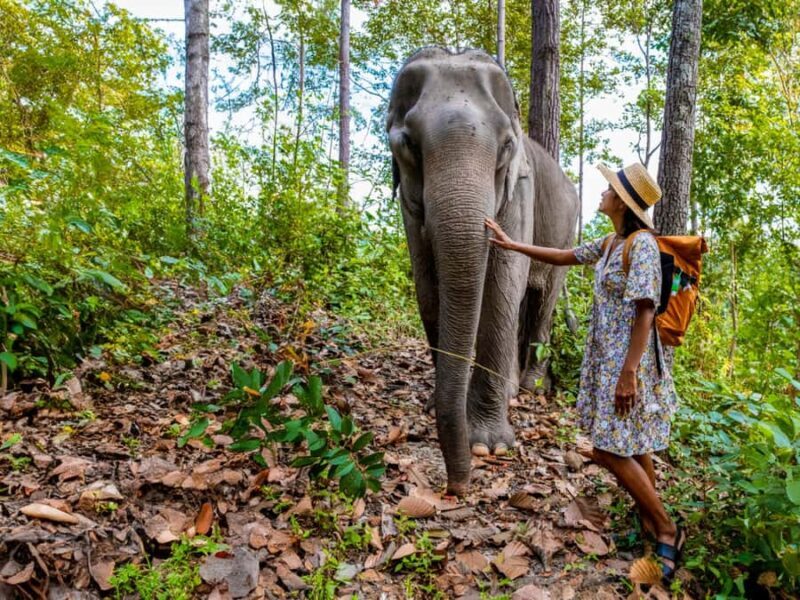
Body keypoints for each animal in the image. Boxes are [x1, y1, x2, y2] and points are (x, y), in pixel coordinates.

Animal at [387, 48, 580, 496]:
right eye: (408, 144)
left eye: (507, 146)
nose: (457, 485)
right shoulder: (408, 203)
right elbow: (427, 285)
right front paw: (435, 406)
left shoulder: (521, 190)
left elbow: (504, 280)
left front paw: (488, 445)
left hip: (566, 230)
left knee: (541, 301)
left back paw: (528, 389)